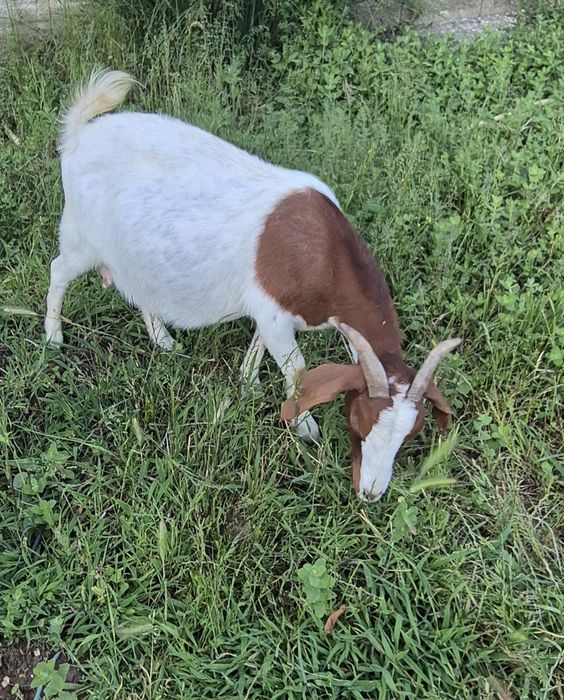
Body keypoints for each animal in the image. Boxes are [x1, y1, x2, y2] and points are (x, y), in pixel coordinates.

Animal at [45, 69, 461, 501]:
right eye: (360, 422)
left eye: (409, 437)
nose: (371, 493)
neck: (325, 255)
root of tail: (79, 135)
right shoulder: (276, 318)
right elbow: (298, 371)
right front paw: (304, 427)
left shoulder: (274, 312)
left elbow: (260, 346)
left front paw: (249, 384)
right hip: (83, 238)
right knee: (59, 270)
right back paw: (53, 337)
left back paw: (163, 340)